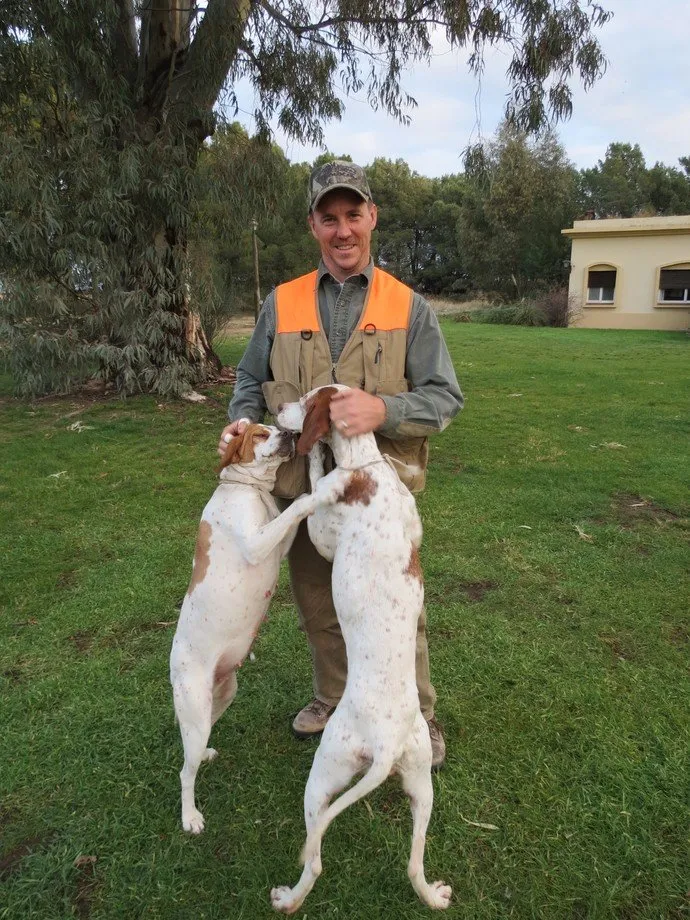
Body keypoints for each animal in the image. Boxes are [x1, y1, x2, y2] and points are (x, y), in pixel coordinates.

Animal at [170, 423, 343, 834]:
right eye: (261, 434)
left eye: (274, 428)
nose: (290, 433)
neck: (247, 488)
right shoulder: (256, 543)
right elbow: (298, 505)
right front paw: (319, 491)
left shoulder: (277, 545)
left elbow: (293, 511)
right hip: (195, 708)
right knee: (184, 773)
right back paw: (190, 817)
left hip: (220, 698)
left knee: (193, 752)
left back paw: (205, 754)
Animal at [271, 387, 451, 912]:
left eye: (306, 399)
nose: (277, 409)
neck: (364, 465)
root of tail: (387, 744)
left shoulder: (321, 531)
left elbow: (314, 486)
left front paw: (314, 454)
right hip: (422, 786)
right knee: (413, 864)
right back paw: (433, 895)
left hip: (323, 774)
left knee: (315, 859)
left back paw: (288, 898)